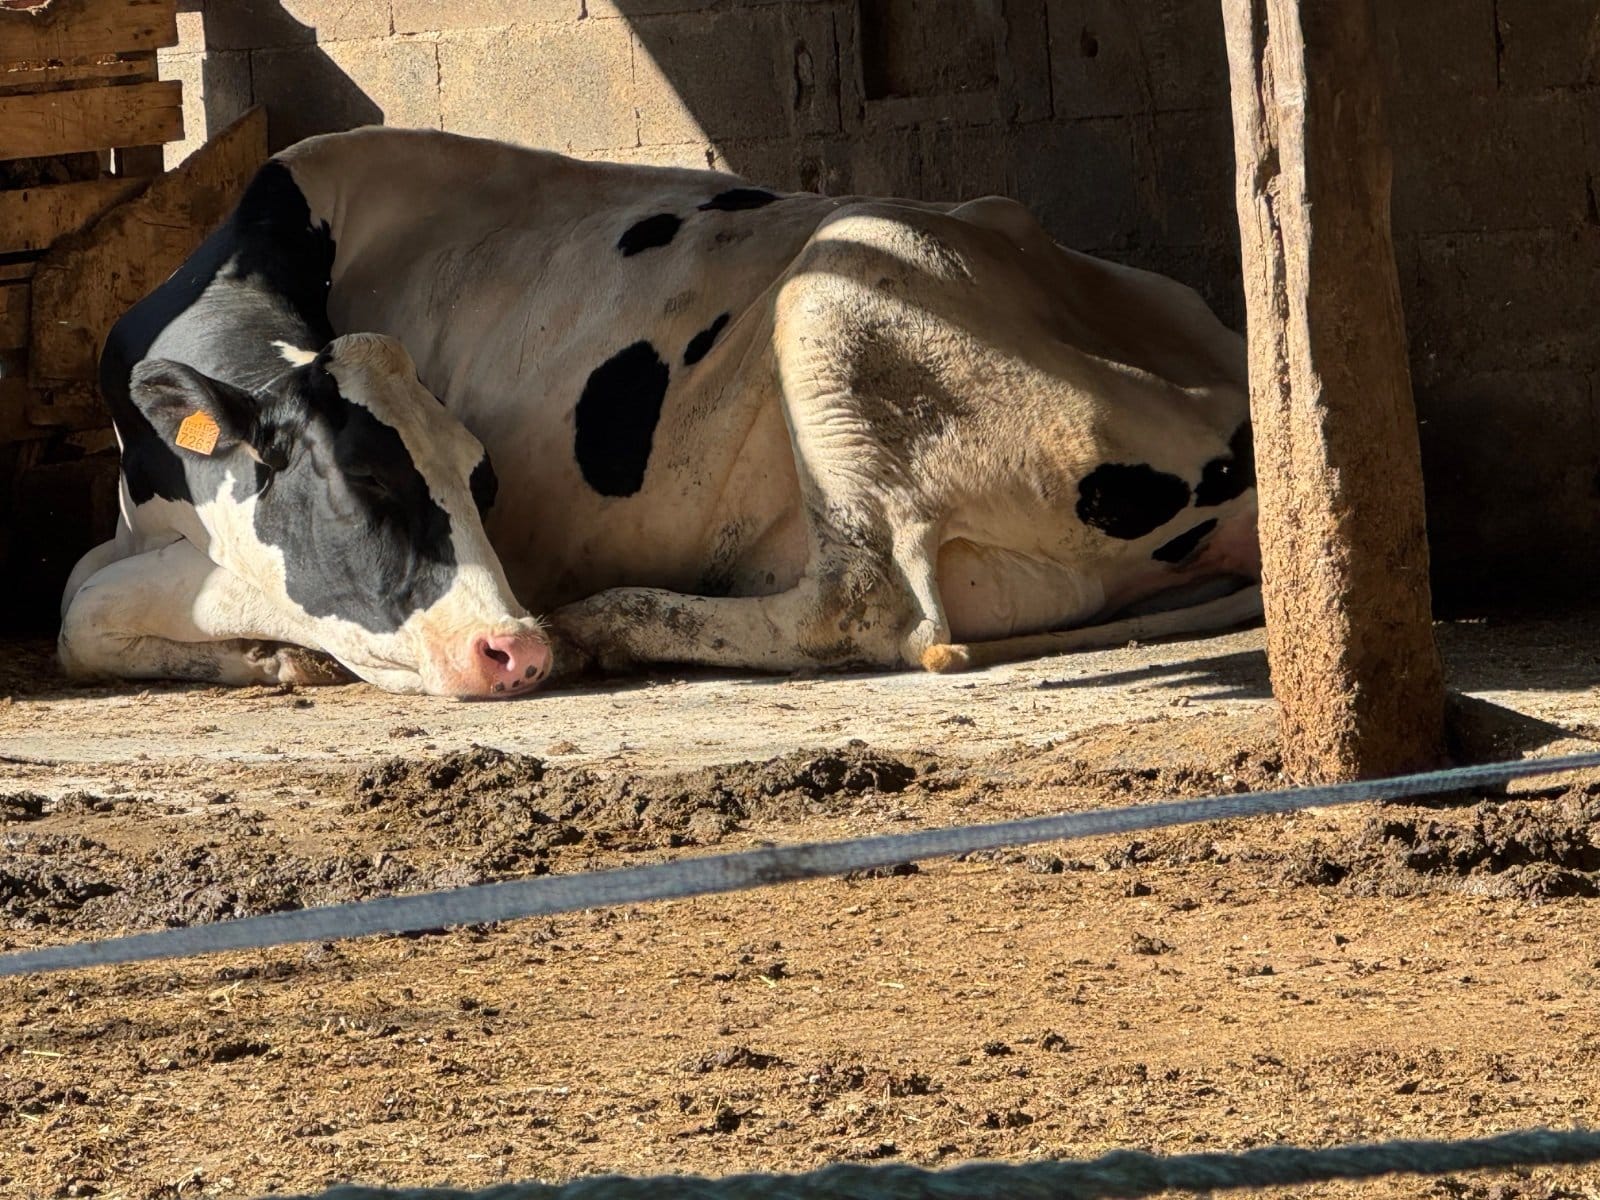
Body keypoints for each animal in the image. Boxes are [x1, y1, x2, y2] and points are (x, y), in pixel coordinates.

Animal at [59, 126, 1259, 696]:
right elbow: (83, 602)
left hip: (835, 285)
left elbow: (93, 606)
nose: (513, 648)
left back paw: (607, 623)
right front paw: (267, 656)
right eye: (356, 490)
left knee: (867, 605)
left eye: (483, 478)